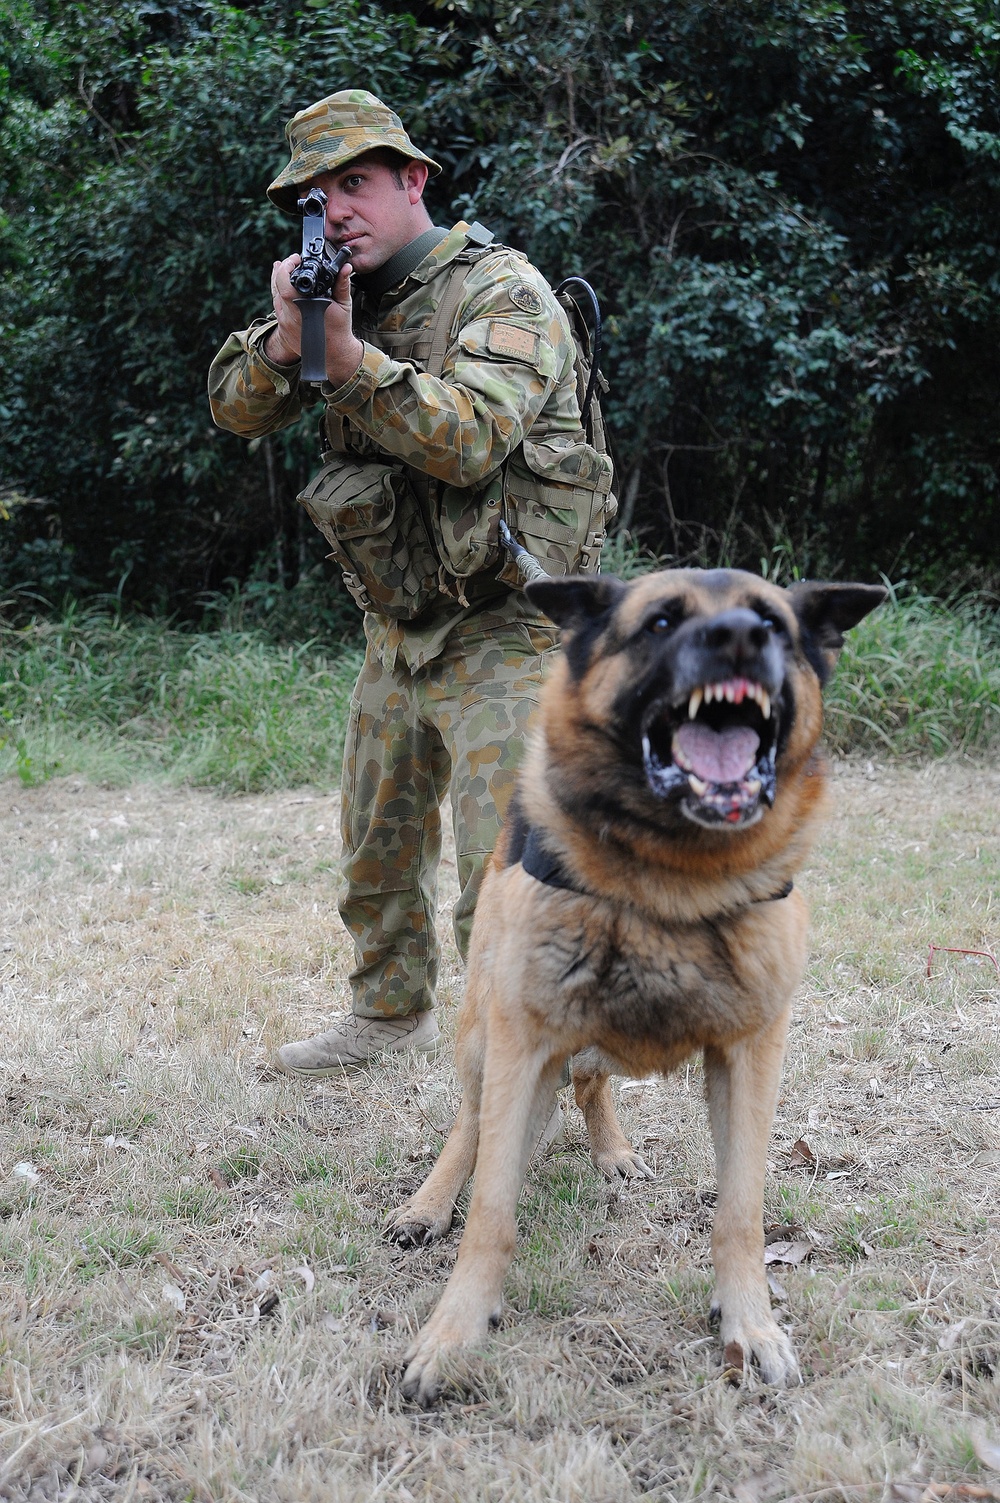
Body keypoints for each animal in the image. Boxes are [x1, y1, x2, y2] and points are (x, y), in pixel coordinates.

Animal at [384, 568, 884, 1400]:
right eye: (659, 622)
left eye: (772, 624)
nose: (738, 637)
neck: (672, 884)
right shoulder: (523, 1043)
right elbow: (491, 1207)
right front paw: (453, 1334)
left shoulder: (749, 1055)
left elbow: (740, 1208)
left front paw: (748, 1323)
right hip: (487, 1035)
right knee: (471, 1123)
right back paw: (428, 1203)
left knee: (591, 1081)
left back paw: (611, 1149)